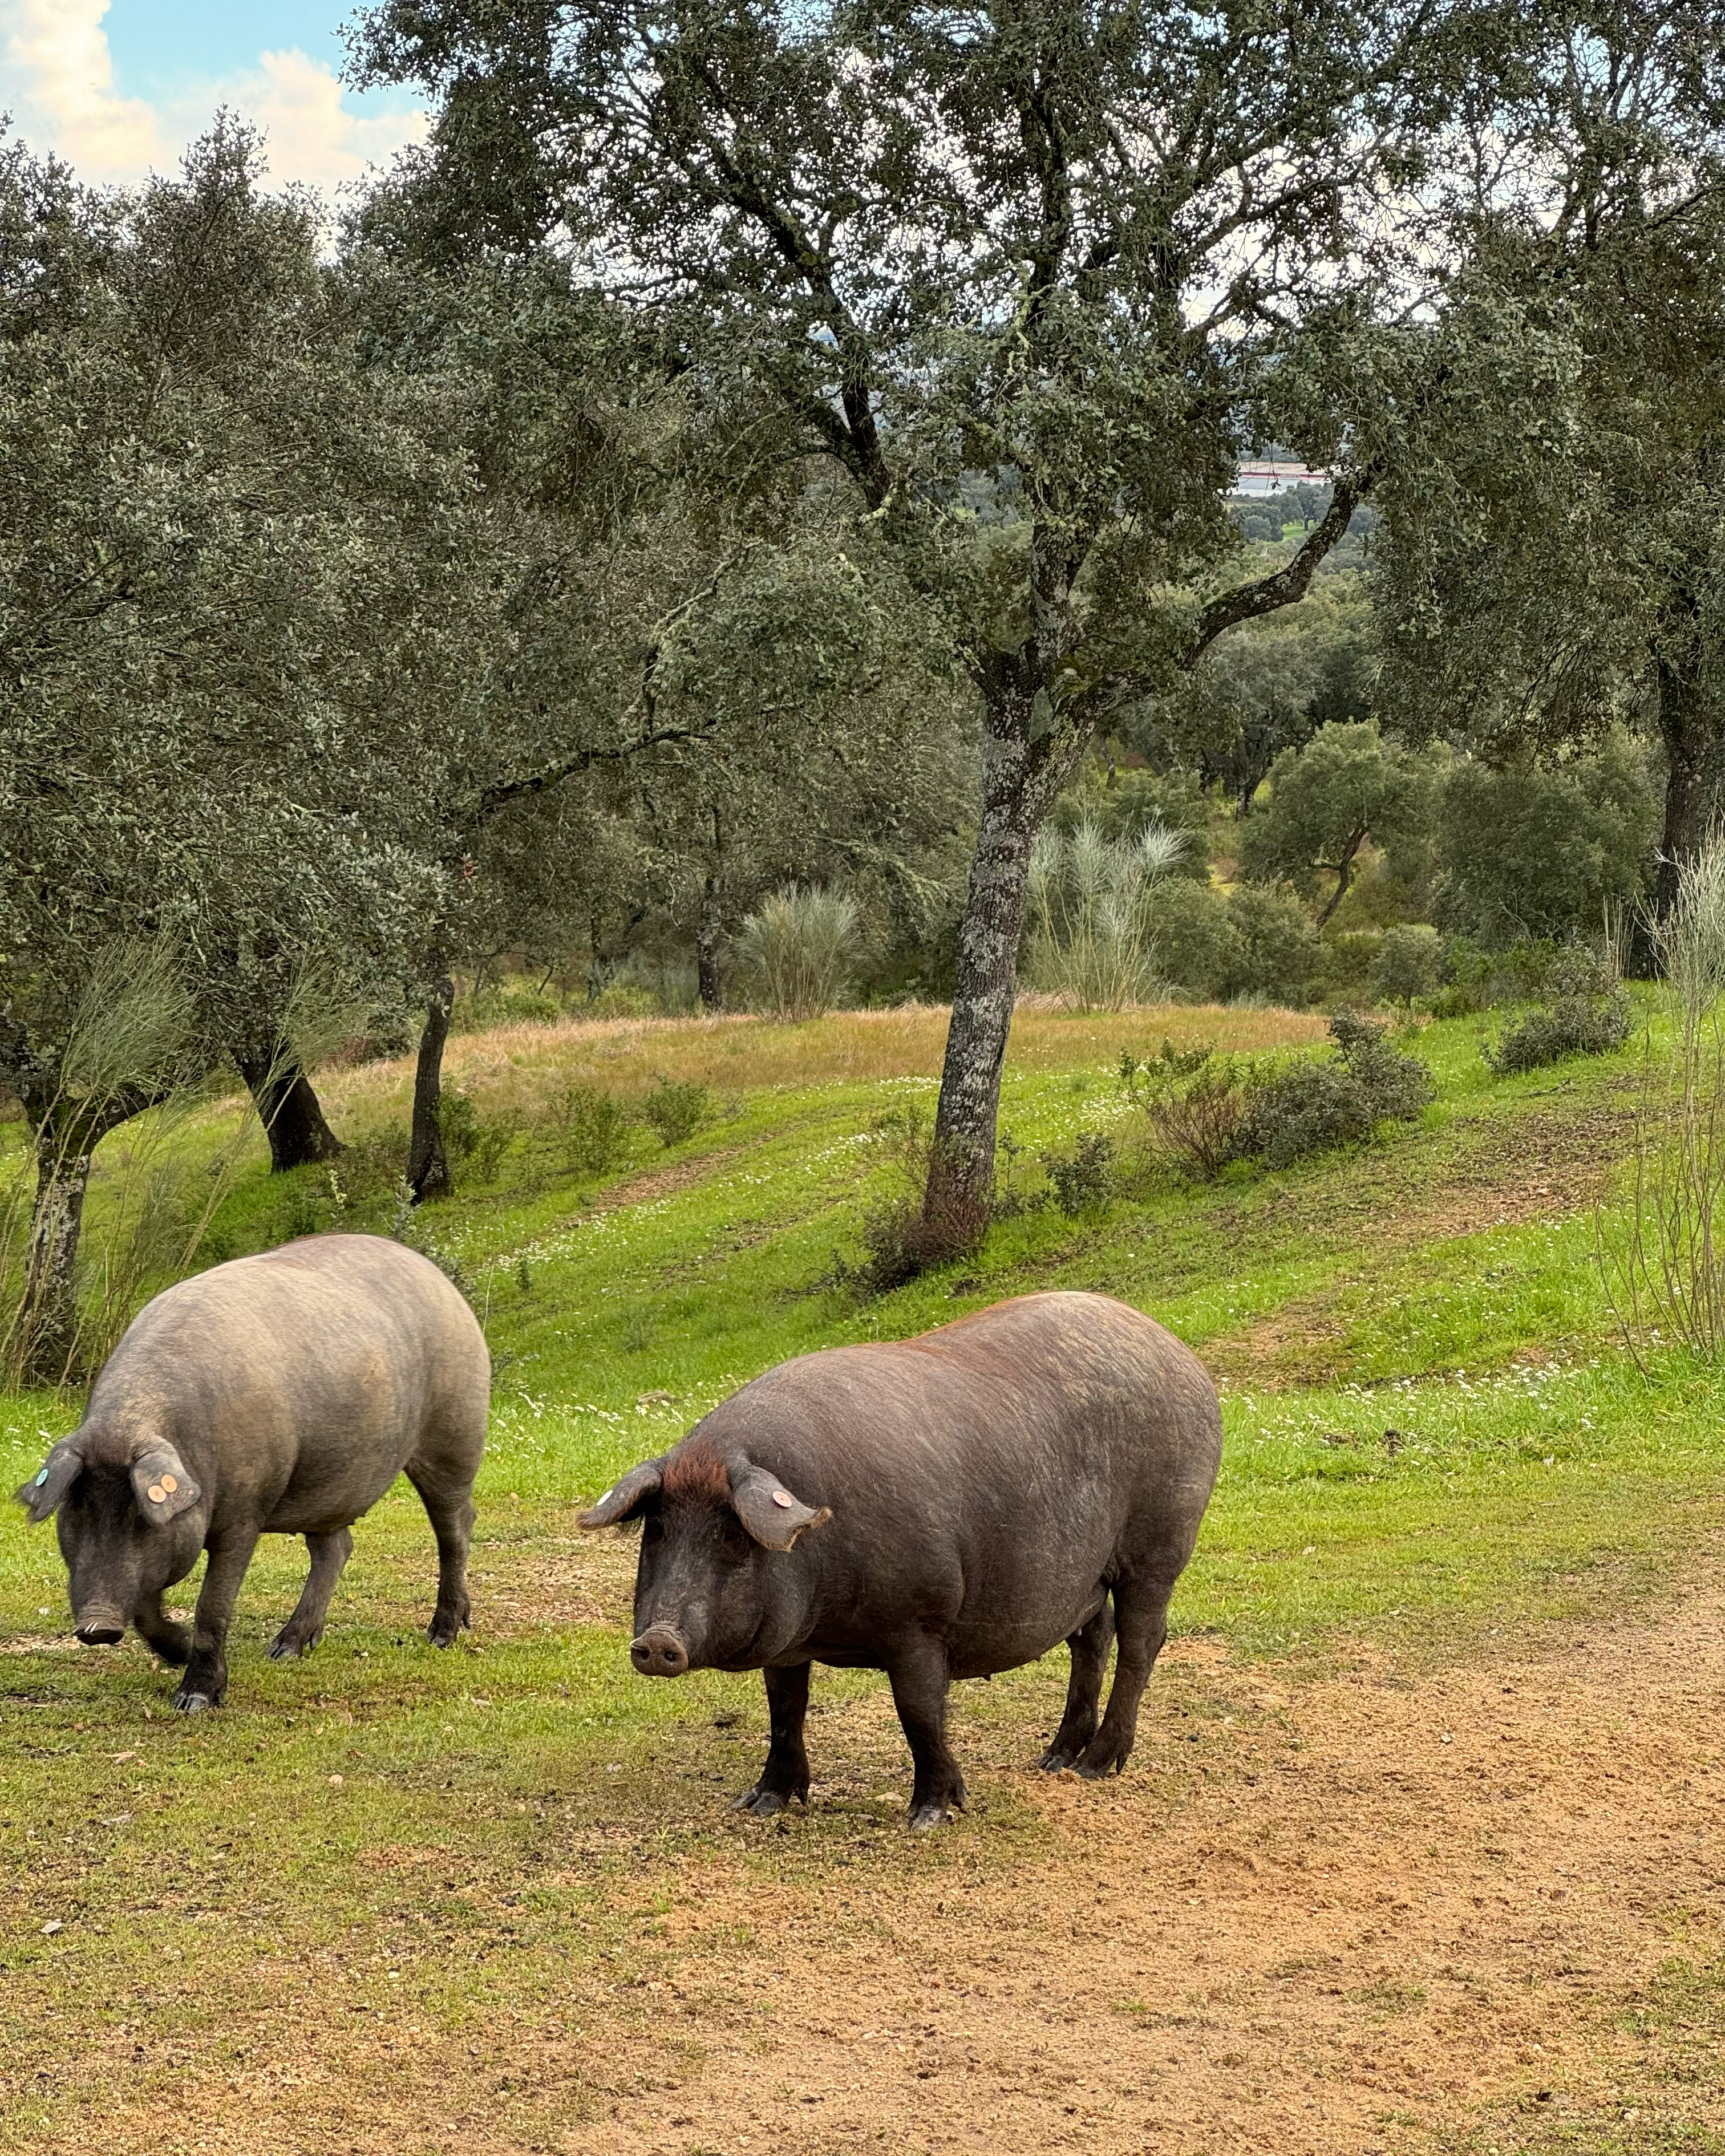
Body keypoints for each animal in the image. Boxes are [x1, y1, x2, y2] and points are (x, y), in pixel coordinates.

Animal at [15, 1233, 488, 1711]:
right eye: (76, 1509)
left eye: (138, 1516)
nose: (96, 1626)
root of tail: (444, 1284)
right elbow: (148, 1608)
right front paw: (178, 1652)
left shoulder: (246, 1511)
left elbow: (212, 1605)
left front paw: (194, 1701)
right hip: (329, 1481)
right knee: (336, 1549)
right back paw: (283, 1650)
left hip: (455, 1435)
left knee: (455, 1527)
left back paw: (441, 1636)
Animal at [579, 1290, 1220, 1827]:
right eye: (658, 1531)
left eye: (734, 1536)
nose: (657, 1641)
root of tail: (1181, 1354)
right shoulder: (789, 1645)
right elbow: (785, 1709)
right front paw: (758, 1804)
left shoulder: (920, 1619)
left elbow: (919, 1711)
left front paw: (929, 1817)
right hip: (1085, 1576)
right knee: (1094, 1636)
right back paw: (1055, 1760)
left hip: (1162, 1542)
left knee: (1142, 1639)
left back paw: (1097, 1766)